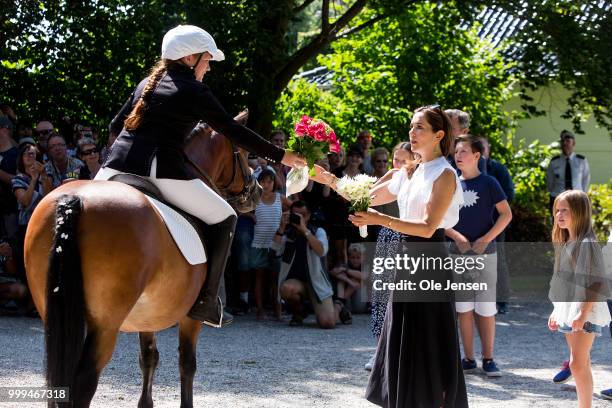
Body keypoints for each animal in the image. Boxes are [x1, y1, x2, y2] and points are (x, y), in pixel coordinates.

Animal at [24, 113, 260, 406]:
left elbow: (148, 358)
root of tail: (73, 199)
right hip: (105, 325)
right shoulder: (190, 318)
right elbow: (187, 363)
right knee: (84, 380)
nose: (256, 191)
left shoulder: (148, 315)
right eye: (244, 152)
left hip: (55, 315)